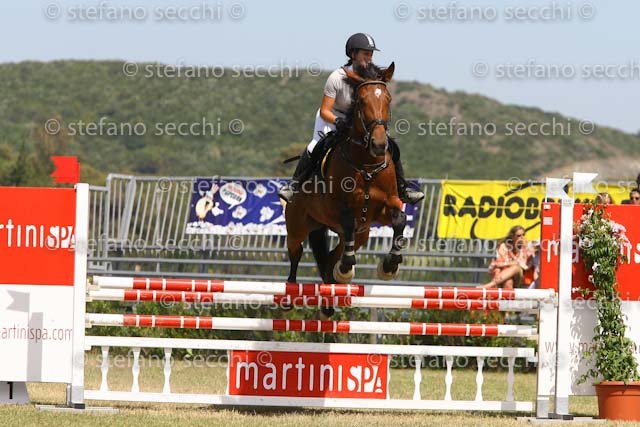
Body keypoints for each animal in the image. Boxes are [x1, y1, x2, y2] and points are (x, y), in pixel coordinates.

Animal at [285, 62, 407, 298]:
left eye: (388, 99)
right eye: (361, 101)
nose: (379, 144)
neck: (366, 164)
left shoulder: (384, 207)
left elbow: (400, 219)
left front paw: (389, 266)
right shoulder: (337, 207)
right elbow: (349, 221)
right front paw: (346, 269)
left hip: (360, 234)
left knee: (330, 258)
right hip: (297, 225)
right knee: (296, 253)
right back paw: (291, 294)